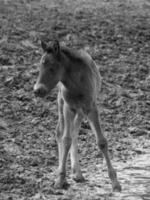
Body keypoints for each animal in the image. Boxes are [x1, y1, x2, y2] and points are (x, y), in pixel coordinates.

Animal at [33, 39, 121, 191]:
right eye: (40, 66)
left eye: (52, 67)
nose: (37, 90)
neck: (76, 83)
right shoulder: (68, 107)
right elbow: (66, 139)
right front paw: (60, 179)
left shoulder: (91, 107)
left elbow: (101, 141)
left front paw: (115, 183)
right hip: (61, 103)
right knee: (60, 132)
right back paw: (69, 174)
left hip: (80, 111)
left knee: (74, 131)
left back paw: (77, 173)